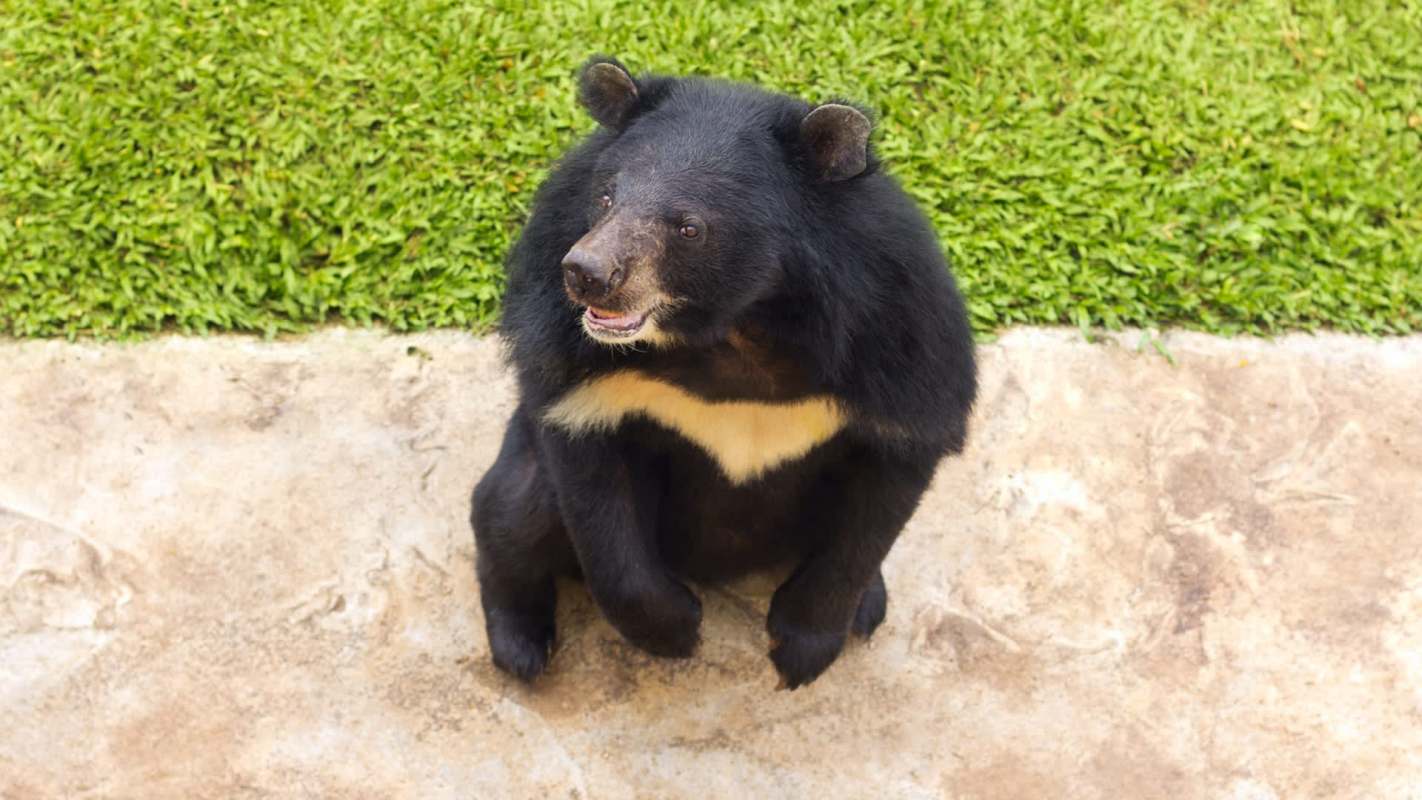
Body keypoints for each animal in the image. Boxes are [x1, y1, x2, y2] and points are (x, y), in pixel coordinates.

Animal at [471, 56, 977, 689]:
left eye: (689, 228)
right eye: (606, 198)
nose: (587, 274)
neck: (737, 326)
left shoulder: (900, 343)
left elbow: (878, 506)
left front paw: (803, 649)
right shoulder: (568, 356)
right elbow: (595, 502)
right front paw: (677, 628)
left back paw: (868, 605)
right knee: (511, 513)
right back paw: (521, 648)